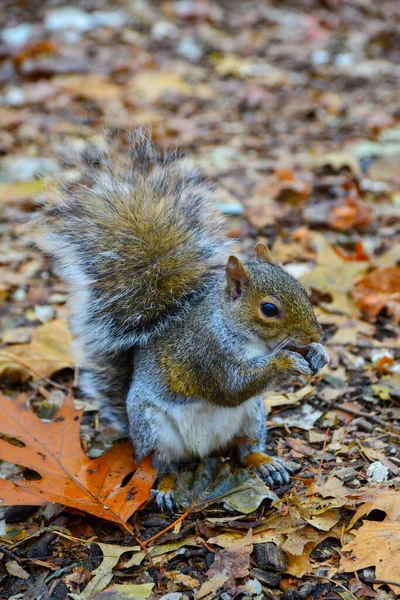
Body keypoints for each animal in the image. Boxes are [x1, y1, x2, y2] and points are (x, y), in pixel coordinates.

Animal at [39, 132, 328, 510]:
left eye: (301, 288)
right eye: (269, 309)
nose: (316, 334)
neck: (244, 334)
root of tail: (204, 449)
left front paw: (319, 354)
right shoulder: (207, 354)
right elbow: (231, 386)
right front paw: (287, 361)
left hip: (252, 417)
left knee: (243, 449)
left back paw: (265, 462)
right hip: (154, 432)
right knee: (160, 465)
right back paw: (165, 487)